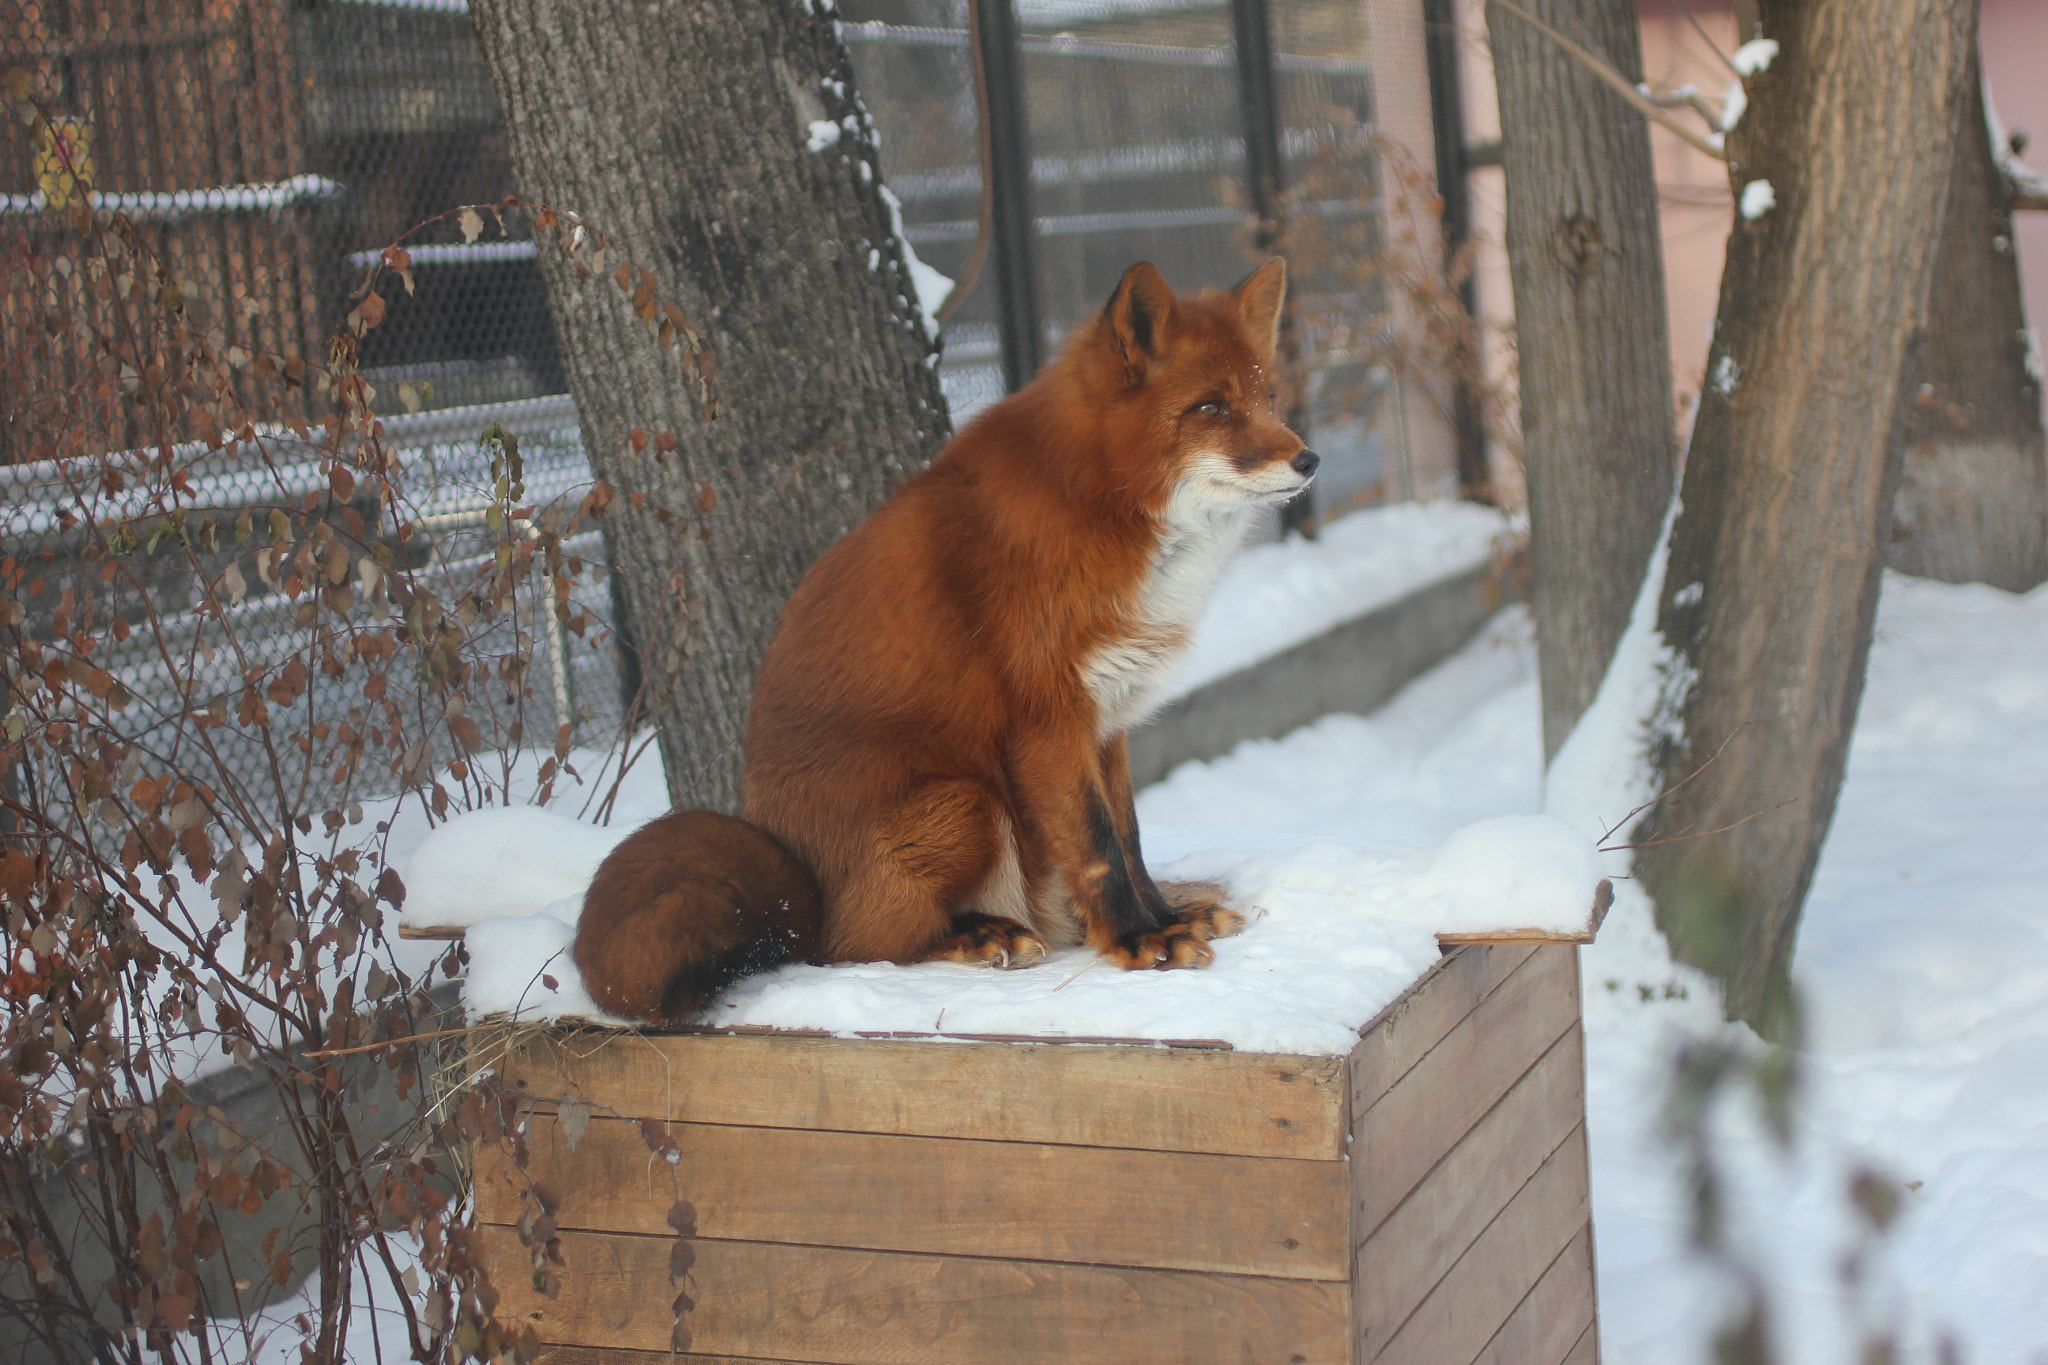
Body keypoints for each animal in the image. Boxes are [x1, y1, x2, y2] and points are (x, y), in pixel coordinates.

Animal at [573, 258, 1310, 1023]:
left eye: (1268, 398)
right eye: (1212, 408)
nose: (1309, 460)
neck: (1102, 503)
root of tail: (800, 897)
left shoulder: (1108, 718)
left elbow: (1128, 838)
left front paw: (1164, 918)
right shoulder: (1049, 720)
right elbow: (1098, 847)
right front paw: (1141, 942)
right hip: (965, 800)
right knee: (859, 946)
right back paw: (982, 935)